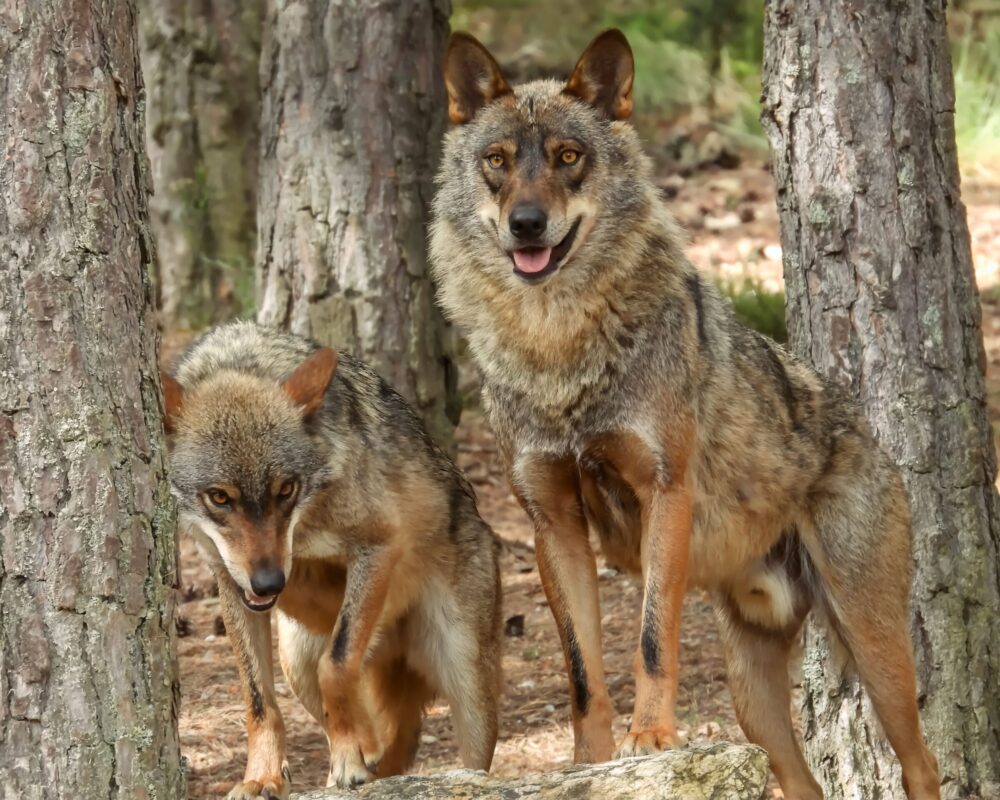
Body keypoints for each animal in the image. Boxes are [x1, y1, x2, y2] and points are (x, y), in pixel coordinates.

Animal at [162, 322, 502, 799]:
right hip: (295, 660)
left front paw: (347, 762)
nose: (269, 583)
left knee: (468, 762)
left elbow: (337, 664)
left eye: (286, 489)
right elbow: (258, 700)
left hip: (468, 688)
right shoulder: (229, 583)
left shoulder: (377, 546)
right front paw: (262, 776)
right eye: (219, 497)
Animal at [429, 29, 940, 800]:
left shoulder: (663, 494)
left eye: (568, 158)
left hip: (875, 651)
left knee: (923, 763)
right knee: (805, 782)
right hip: (754, 701)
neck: (558, 350)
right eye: (497, 162)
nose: (527, 226)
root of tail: (865, 430)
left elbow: (649, 640)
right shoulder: (552, 524)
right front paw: (590, 763)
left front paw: (652, 738)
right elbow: (581, 669)